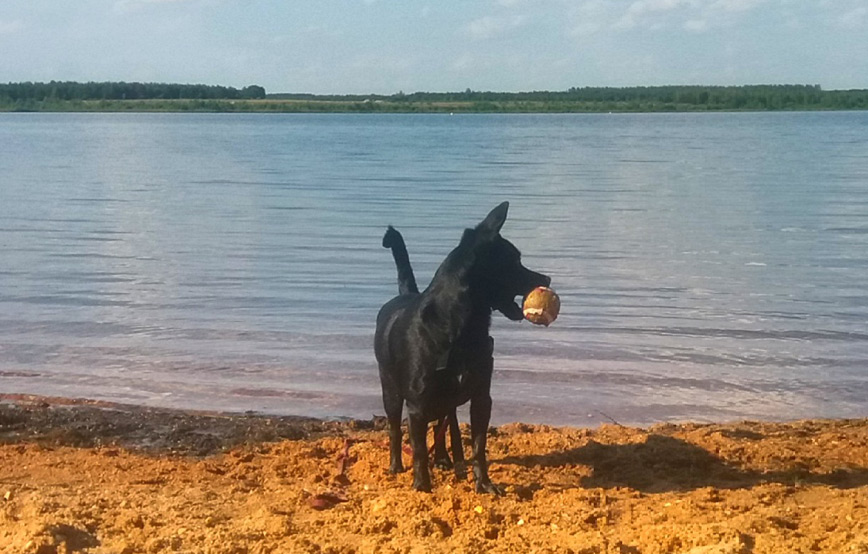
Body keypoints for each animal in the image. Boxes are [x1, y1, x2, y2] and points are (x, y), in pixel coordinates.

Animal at [372, 203, 548, 492]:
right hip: (391, 390)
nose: (547, 277)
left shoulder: (481, 398)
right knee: (396, 428)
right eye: (513, 262)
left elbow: (478, 447)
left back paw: (445, 459)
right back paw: (396, 466)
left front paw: (484, 484)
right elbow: (419, 450)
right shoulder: (416, 405)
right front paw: (422, 486)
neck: (459, 333)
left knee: (443, 424)